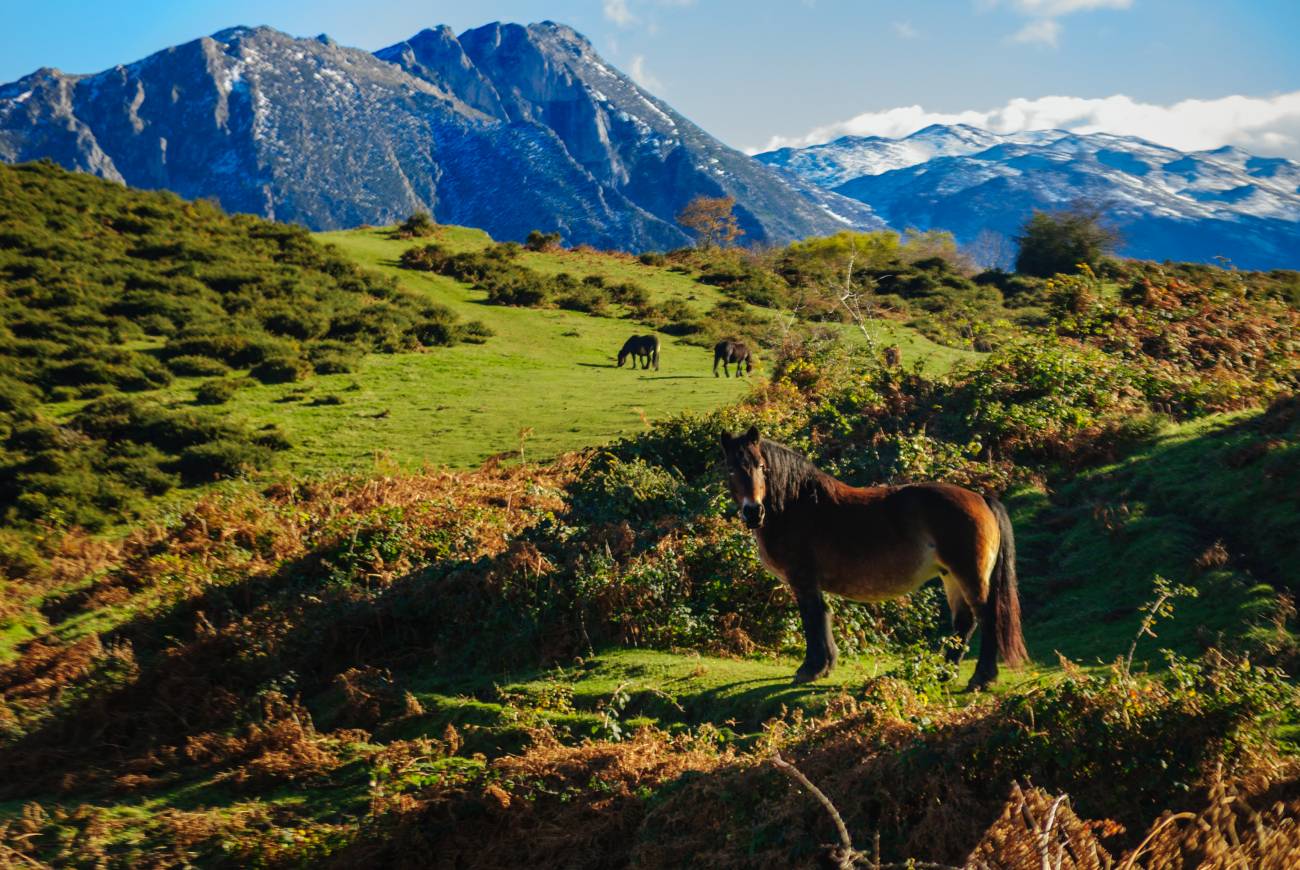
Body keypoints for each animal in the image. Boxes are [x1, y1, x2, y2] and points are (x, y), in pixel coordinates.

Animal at [722, 423, 1024, 686]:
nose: (753, 512)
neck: (794, 505)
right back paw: (943, 673)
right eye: (731, 470)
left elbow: (812, 618)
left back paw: (982, 678)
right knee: (964, 622)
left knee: (986, 617)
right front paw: (826, 665)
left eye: (761, 467)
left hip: (969, 575)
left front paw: (810, 669)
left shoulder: (803, 580)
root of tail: (981, 498)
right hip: (950, 576)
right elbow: (824, 615)